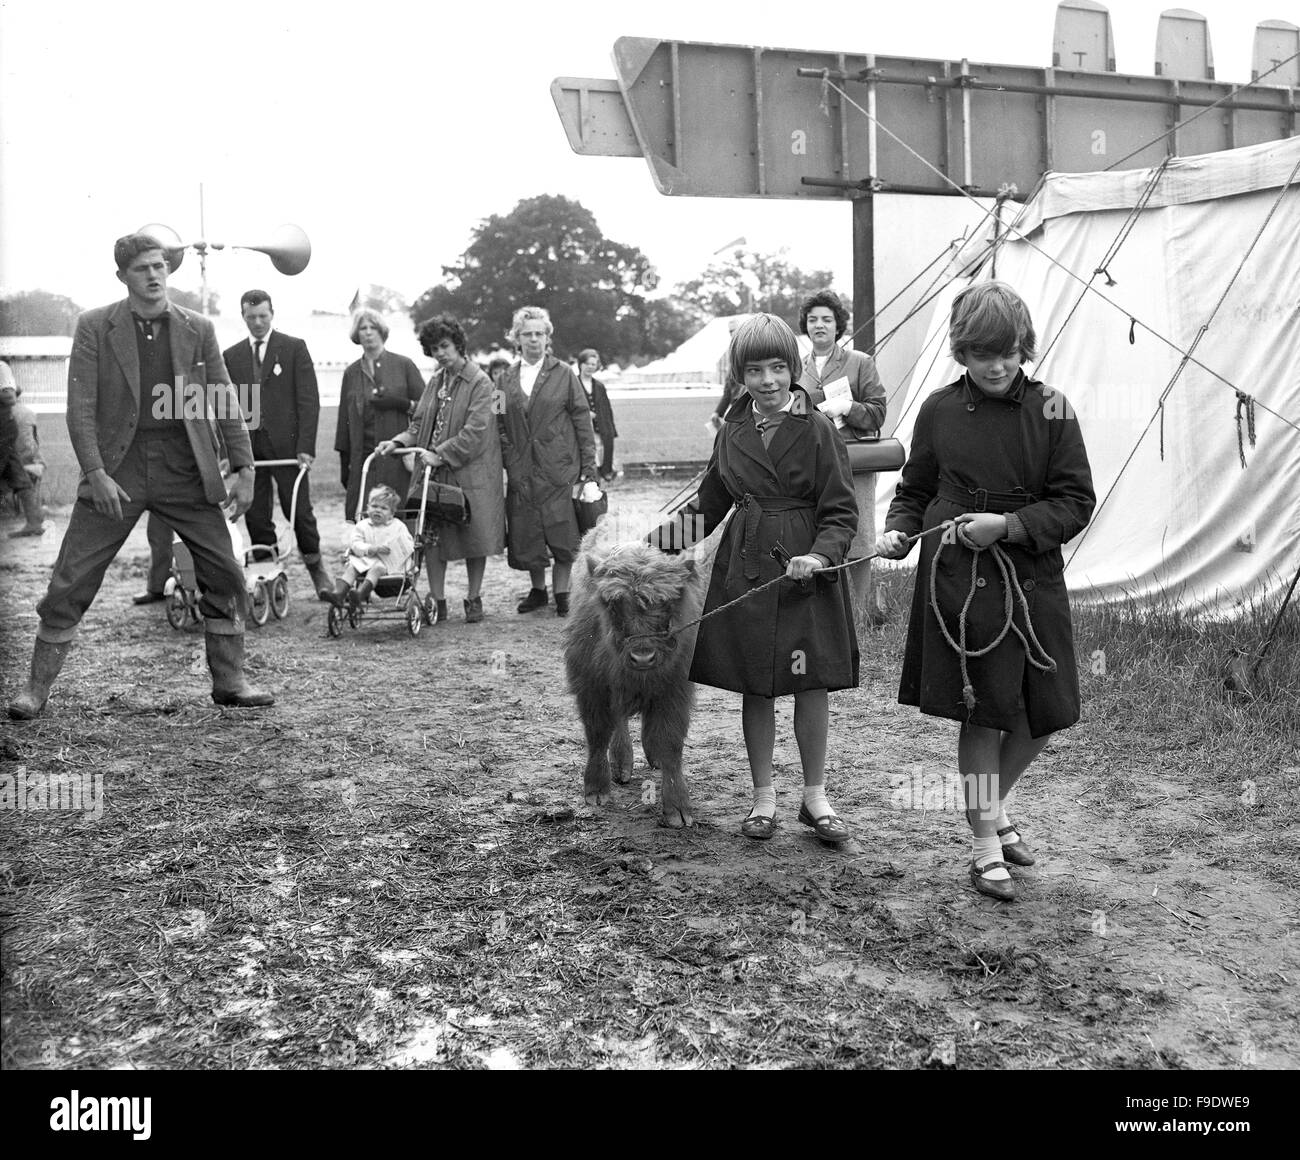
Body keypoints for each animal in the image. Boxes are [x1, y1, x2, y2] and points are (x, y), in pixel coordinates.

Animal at [564, 535, 707, 827]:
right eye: (615, 606)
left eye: (667, 605)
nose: (643, 657)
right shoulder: (593, 687)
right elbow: (598, 734)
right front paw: (596, 789)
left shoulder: (674, 690)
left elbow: (670, 743)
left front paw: (677, 808)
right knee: (617, 722)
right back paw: (621, 764)